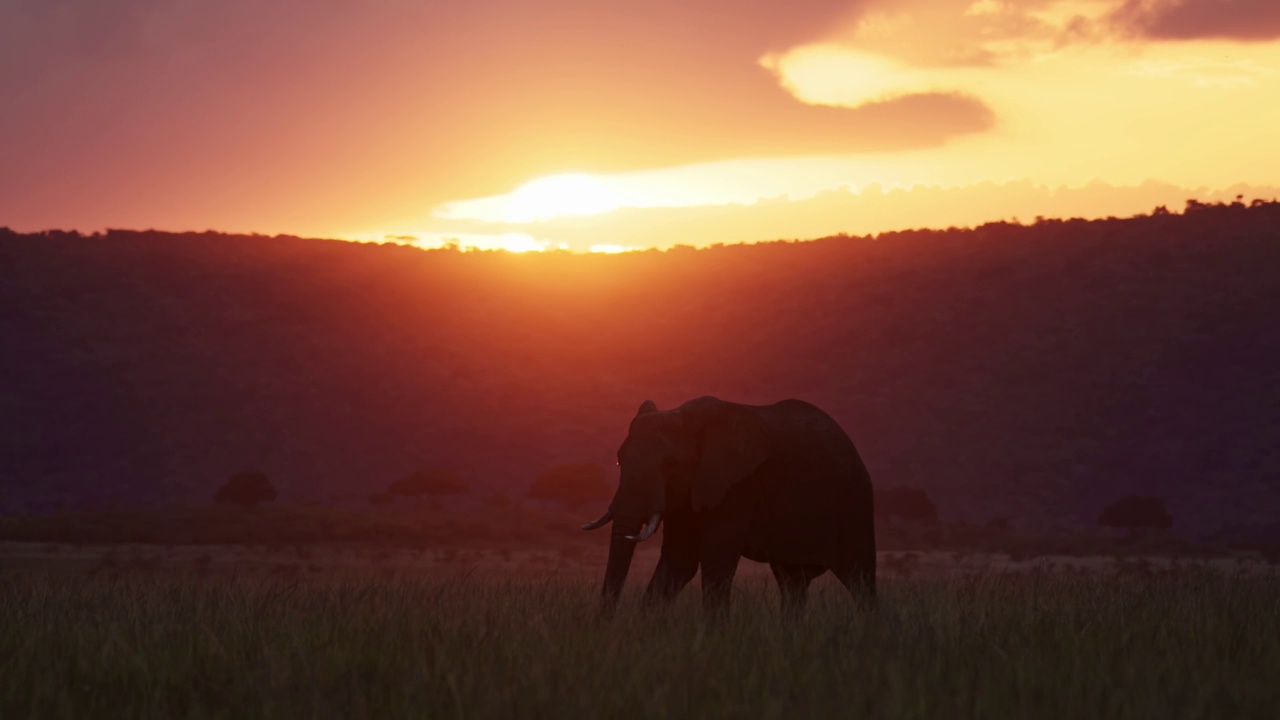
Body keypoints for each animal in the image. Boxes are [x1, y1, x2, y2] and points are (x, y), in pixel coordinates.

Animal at [583, 392, 875, 609]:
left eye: (670, 464)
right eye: (619, 460)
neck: (687, 417)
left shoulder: (739, 486)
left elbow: (716, 557)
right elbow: (679, 559)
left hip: (855, 501)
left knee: (860, 579)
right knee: (792, 583)